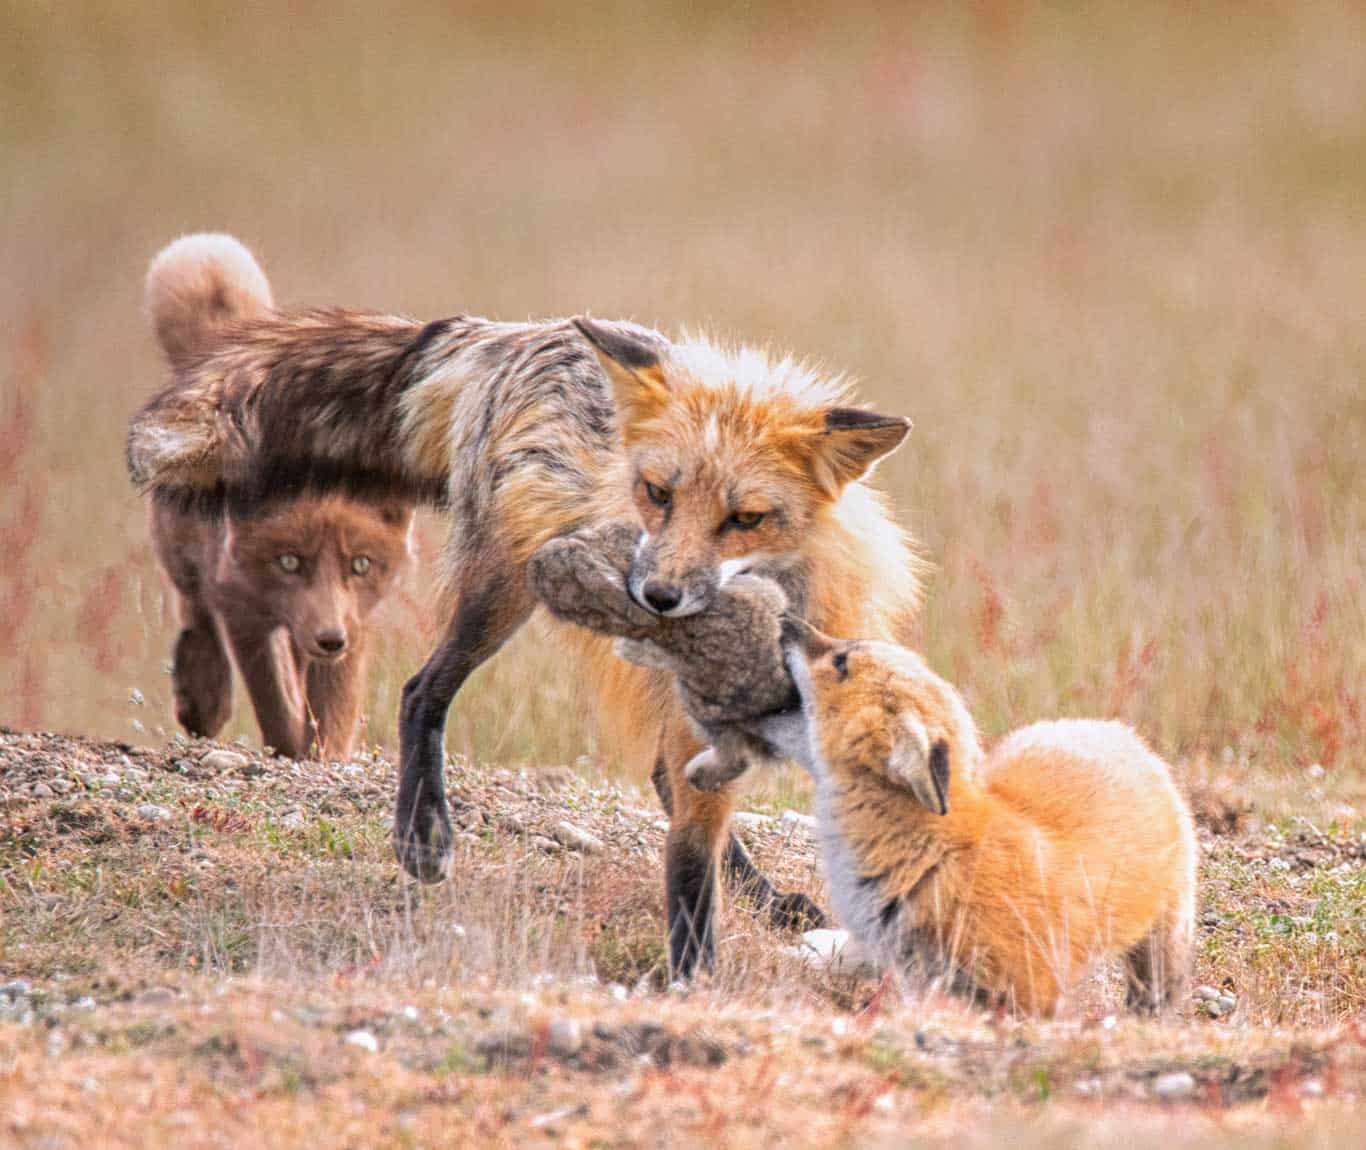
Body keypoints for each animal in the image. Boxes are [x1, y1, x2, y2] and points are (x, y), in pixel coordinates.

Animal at [128, 234, 923, 977]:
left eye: (746, 519)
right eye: (657, 494)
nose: (656, 597)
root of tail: (520, 332)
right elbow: (691, 868)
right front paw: (693, 977)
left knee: (663, 778)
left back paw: (773, 901)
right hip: (503, 589)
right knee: (422, 692)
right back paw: (423, 836)